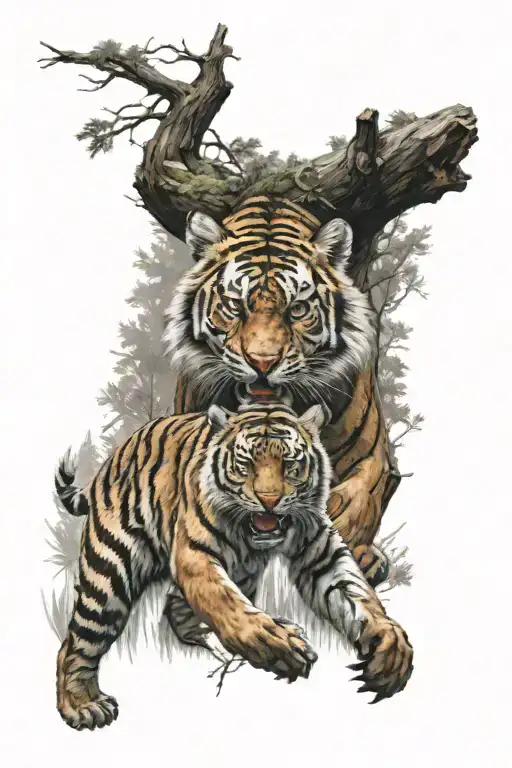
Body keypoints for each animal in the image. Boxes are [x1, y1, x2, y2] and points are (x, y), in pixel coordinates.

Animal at [54, 401, 413, 731]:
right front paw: (278, 645)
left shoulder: (321, 552)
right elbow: (228, 605)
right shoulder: (195, 554)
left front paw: (389, 648)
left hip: (240, 572)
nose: (269, 500)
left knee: (177, 609)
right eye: (246, 464)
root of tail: (117, 454)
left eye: (290, 464)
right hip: (109, 573)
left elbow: (356, 593)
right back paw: (82, 706)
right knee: (77, 641)